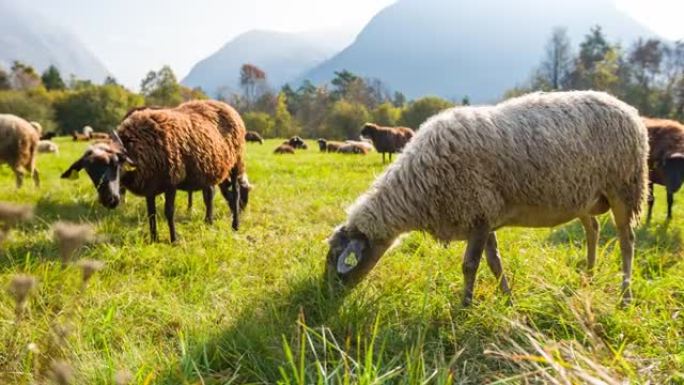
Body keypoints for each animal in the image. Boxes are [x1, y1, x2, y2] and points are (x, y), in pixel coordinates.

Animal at [62, 100, 250, 242]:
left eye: (116, 164)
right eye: (89, 171)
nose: (110, 200)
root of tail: (225, 105)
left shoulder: (172, 181)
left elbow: (169, 211)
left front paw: (174, 240)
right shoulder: (149, 186)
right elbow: (151, 214)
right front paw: (153, 239)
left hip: (236, 162)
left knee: (235, 191)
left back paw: (235, 225)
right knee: (210, 196)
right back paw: (209, 222)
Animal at [326, 91, 648, 306]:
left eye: (335, 260)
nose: (324, 298)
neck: (417, 186)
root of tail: (629, 109)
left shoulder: (478, 213)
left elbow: (470, 265)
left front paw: (465, 307)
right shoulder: (484, 216)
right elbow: (495, 263)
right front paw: (508, 300)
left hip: (624, 186)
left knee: (626, 240)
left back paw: (625, 295)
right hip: (584, 195)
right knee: (592, 229)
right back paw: (589, 276)